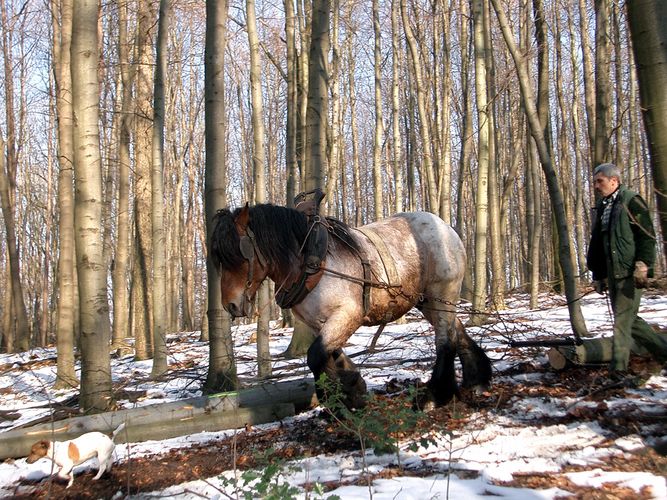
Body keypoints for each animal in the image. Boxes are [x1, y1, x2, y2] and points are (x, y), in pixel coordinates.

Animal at [211, 203, 494, 410]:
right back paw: (476, 379)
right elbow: (331, 353)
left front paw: (337, 401)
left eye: (239, 256)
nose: (230, 305)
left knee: (445, 341)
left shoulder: (349, 314)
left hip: (441, 292)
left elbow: (315, 355)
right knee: (457, 331)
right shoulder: (319, 323)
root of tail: (446, 227)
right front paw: (353, 386)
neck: (312, 263)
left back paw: (435, 396)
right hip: (427, 301)